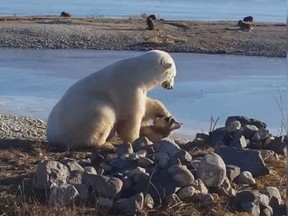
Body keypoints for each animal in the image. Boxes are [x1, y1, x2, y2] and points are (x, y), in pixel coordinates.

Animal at [47, 49, 177, 149]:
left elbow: (147, 104)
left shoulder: (139, 89)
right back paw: (104, 144)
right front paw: (136, 139)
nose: (171, 87)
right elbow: (131, 116)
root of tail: (52, 135)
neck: (137, 73)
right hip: (82, 115)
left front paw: (165, 113)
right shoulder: (127, 88)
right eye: (173, 75)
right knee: (104, 114)